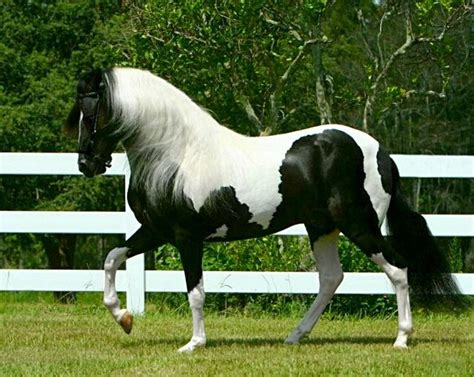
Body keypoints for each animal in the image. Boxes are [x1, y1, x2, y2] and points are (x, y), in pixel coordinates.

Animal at [65, 67, 462, 350]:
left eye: (92, 112)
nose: (86, 164)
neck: (177, 155)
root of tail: (380, 153)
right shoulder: (156, 231)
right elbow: (112, 258)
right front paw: (124, 318)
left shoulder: (186, 238)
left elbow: (195, 291)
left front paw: (194, 344)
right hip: (322, 229)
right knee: (331, 278)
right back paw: (295, 335)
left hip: (360, 226)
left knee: (398, 269)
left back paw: (402, 338)